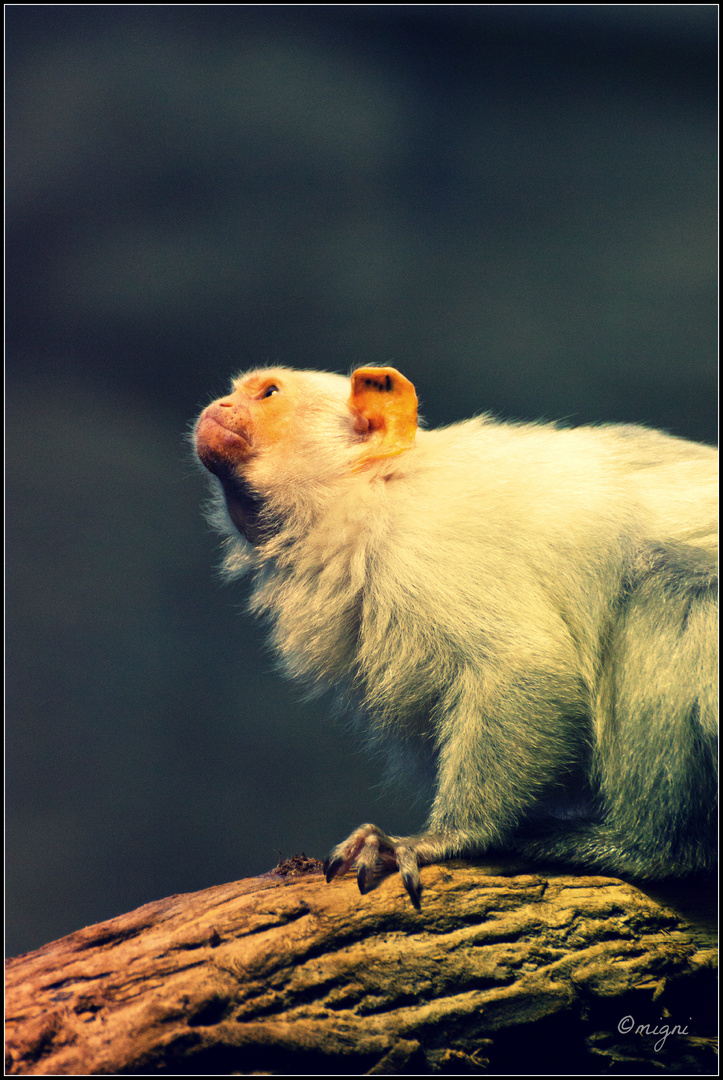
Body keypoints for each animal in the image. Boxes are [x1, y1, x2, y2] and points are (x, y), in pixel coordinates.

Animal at [193, 367, 717, 907]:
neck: (371, 490)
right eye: (235, 392)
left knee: (665, 590)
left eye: (268, 394)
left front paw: (441, 838)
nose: (218, 407)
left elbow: (528, 666)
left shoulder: (424, 548)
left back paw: (647, 850)